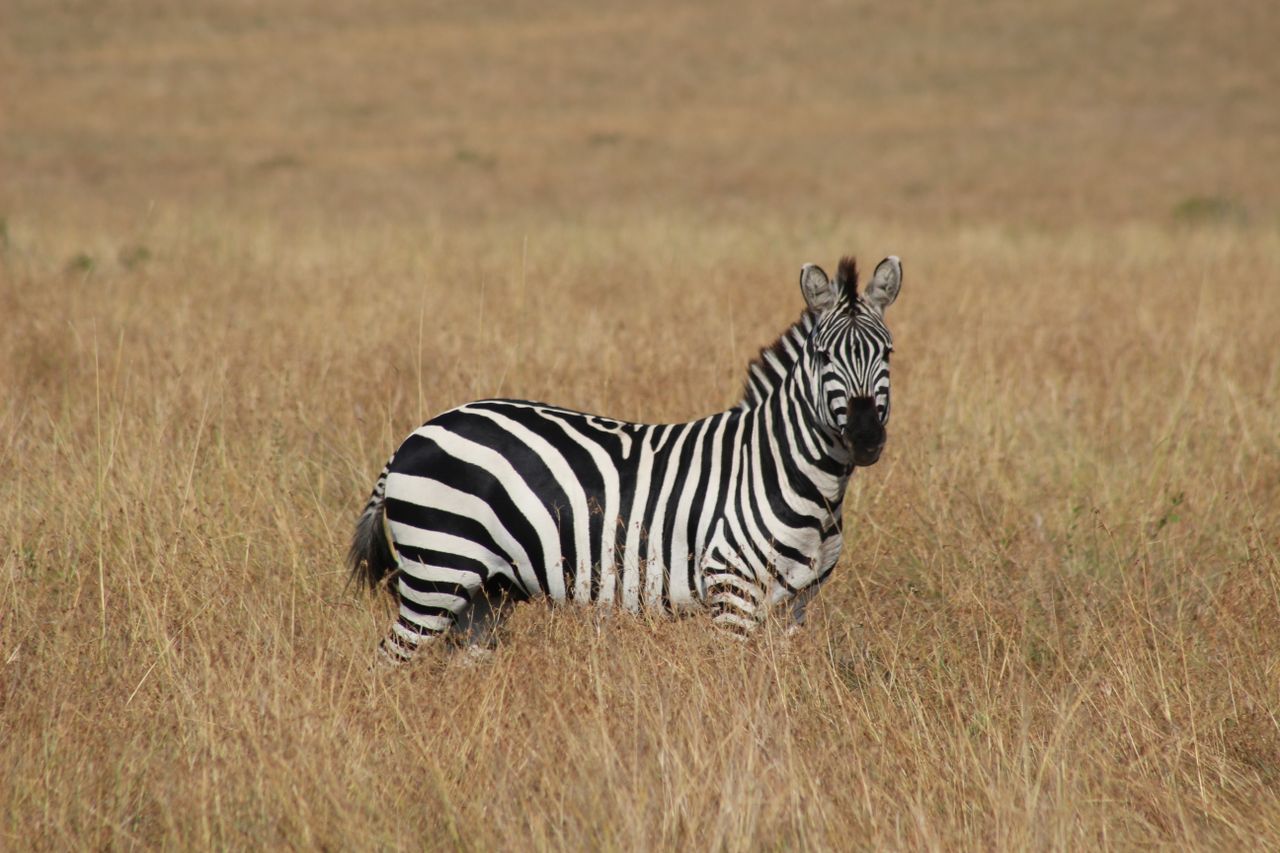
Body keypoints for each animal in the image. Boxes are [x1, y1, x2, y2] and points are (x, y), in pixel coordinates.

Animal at [348, 255, 901, 663]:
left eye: (888, 353)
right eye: (824, 356)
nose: (865, 437)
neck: (791, 474)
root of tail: (416, 434)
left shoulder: (796, 606)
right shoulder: (732, 591)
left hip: (485, 592)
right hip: (437, 570)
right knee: (388, 661)